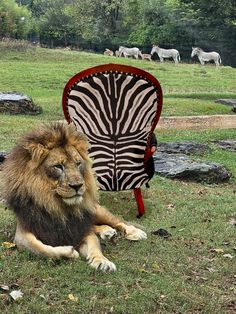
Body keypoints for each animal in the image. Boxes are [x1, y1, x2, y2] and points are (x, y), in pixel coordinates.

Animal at [2, 122, 148, 272]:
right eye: (58, 166)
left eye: (78, 164)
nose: (78, 186)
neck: (58, 206)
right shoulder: (23, 233)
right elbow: (40, 249)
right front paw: (70, 252)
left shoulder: (80, 228)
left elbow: (95, 245)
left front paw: (102, 261)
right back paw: (107, 232)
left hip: (96, 210)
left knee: (117, 220)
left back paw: (134, 232)